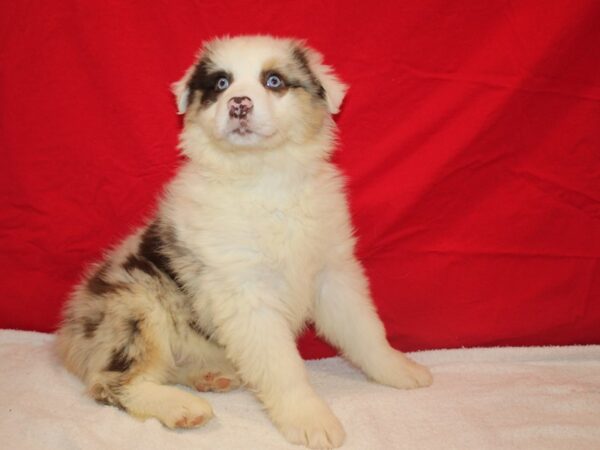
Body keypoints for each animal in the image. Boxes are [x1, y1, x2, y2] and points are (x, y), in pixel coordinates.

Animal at [56, 36, 432, 450]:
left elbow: (365, 331)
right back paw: (181, 406)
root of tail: (69, 336)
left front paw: (399, 369)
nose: (239, 103)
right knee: (112, 383)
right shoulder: (246, 292)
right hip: (135, 305)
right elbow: (282, 365)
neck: (263, 176)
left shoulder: (333, 271)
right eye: (221, 84)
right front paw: (310, 419)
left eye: (273, 81)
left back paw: (209, 376)